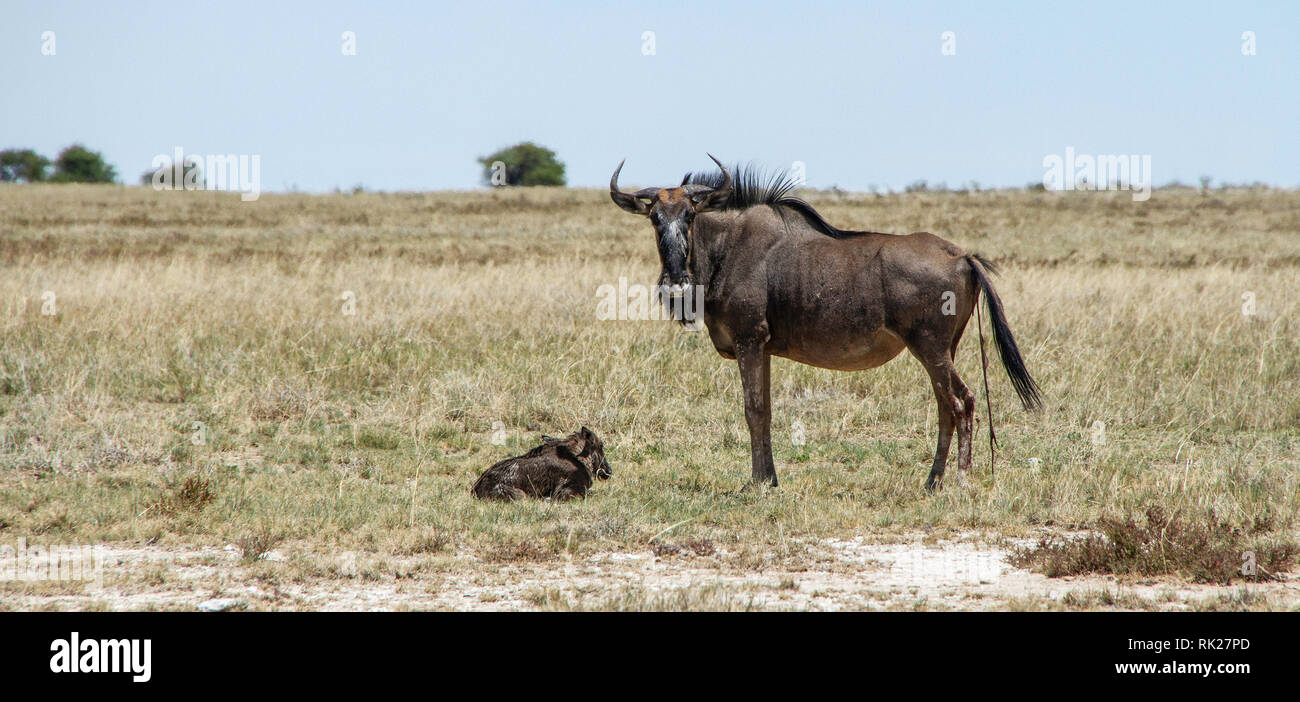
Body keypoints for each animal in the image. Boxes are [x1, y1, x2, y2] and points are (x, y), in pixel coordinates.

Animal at [473, 423, 613, 501]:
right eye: (601, 445)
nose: (608, 471)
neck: (577, 458)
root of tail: (475, 489)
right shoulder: (567, 491)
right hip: (520, 495)